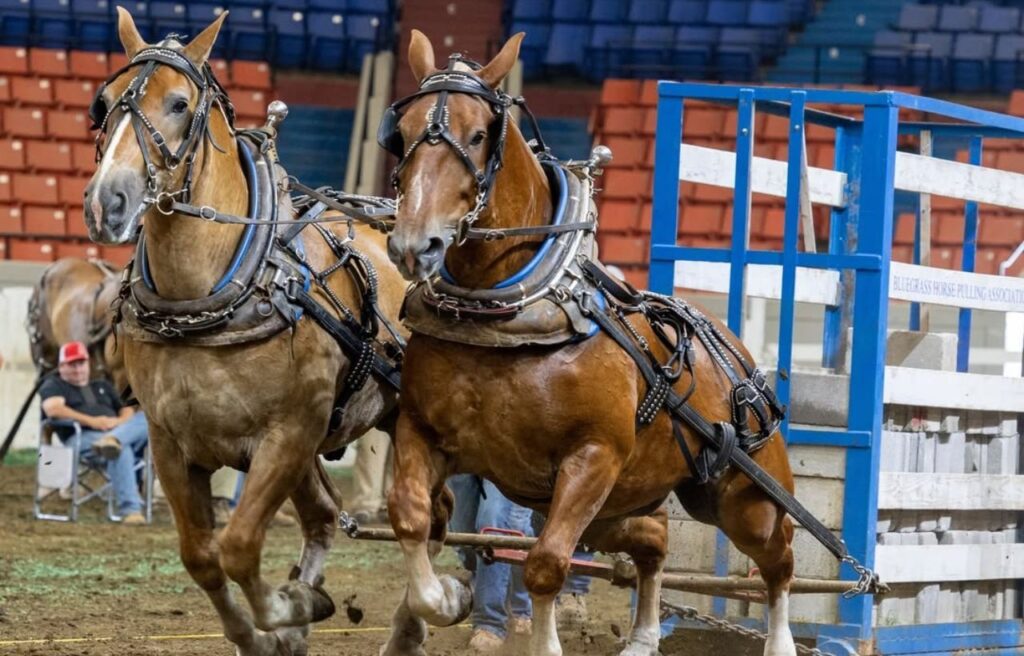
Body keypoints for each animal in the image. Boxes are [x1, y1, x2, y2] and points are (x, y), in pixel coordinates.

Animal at [84, 10, 407, 655]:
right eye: (103, 103)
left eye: (180, 104)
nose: (109, 202)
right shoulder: (171, 443)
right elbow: (201, 556)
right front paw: (268, 628)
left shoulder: (287, 436)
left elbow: (236, 546)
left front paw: (286, 610)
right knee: (326, 516)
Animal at [380, 31, 800, 656]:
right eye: (402, 133)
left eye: (479, 135)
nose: (413, 244)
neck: (508, 314)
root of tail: (735, 352)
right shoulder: (421, 431)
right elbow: (410, 517)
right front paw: (446, 599)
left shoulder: (593, 457)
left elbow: (546, 565)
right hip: (627, 500)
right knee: (652, 540)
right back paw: (644, 636)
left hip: (739, 499)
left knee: (779, 558)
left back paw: (780, 642)